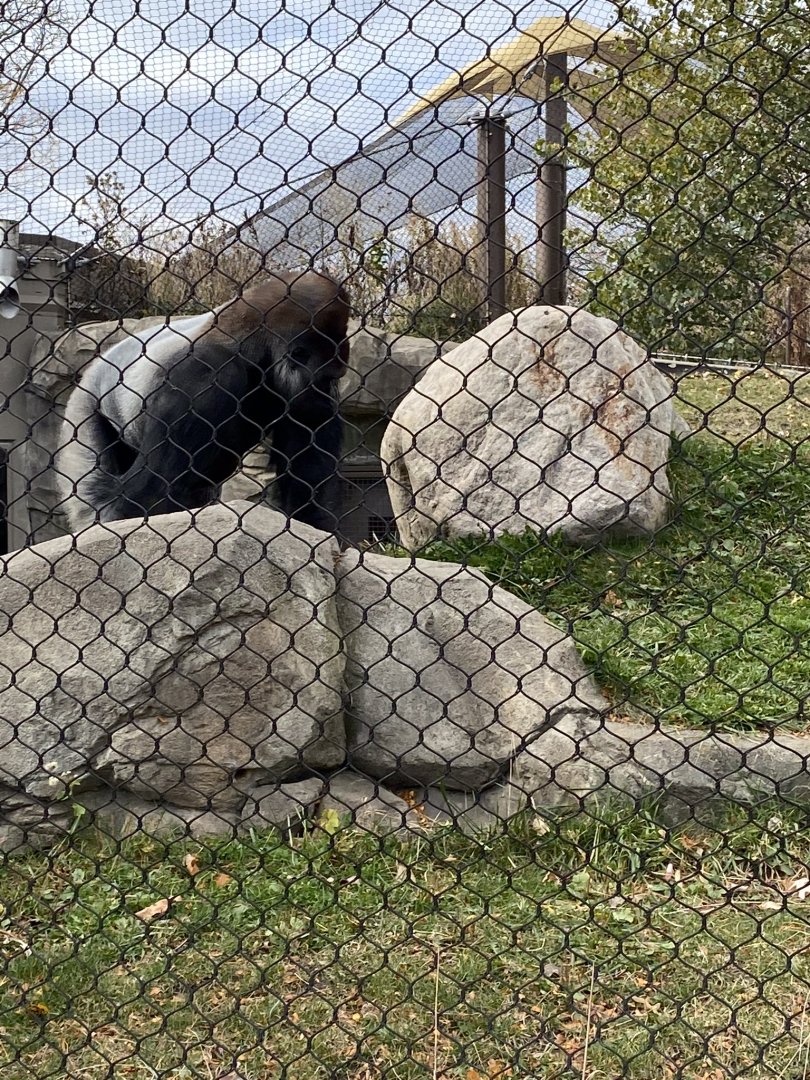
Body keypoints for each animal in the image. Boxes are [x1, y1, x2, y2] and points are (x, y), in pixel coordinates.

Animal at [58, 270, 350, 534]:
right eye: (327, 379)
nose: (327, 402)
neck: (252, 347)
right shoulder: (205, 376)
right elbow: (153, 490)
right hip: (82, 409)